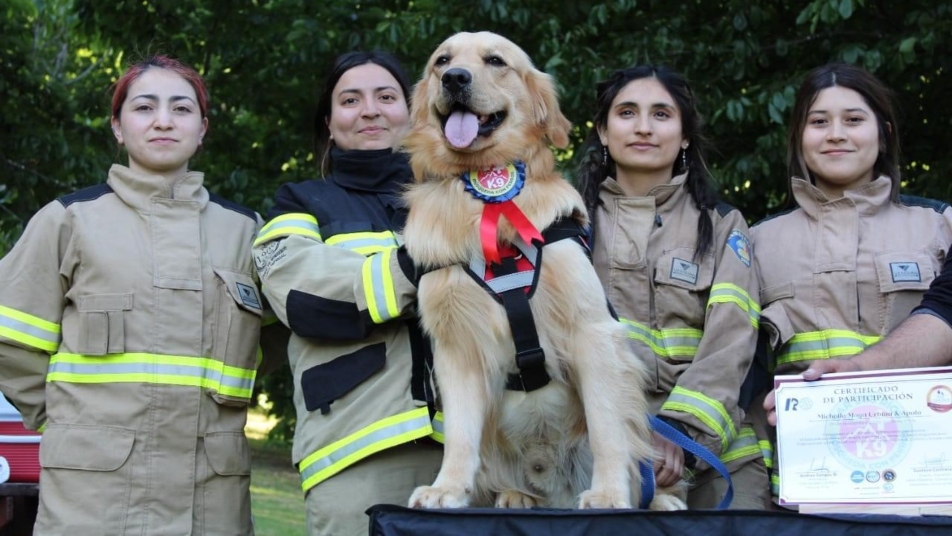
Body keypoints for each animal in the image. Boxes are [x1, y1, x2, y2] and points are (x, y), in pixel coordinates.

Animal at [400, 30, 684, 510]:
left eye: (496, 61)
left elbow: (608, 429)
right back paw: (517, 494)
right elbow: (459, 433)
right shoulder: (456, 347)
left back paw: (658, 498)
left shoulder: (591, 328)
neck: (481, 198)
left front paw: (608, 494)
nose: (455, 78)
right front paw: (448, 488)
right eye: (441, 61)